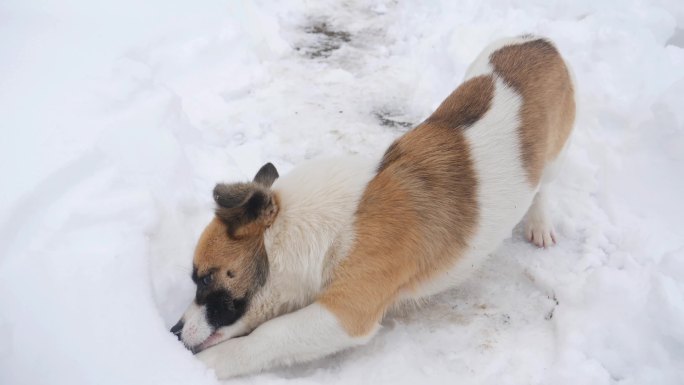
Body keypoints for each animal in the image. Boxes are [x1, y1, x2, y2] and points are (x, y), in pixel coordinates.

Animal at [170, 36, 572, 378]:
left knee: (544, 189)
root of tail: (541, 42)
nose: (173, 332)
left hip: (553, 160)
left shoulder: (344, 313)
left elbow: (267, 336)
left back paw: (539, 224)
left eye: (205, 278)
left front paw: (205, 366)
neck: (302, 230)